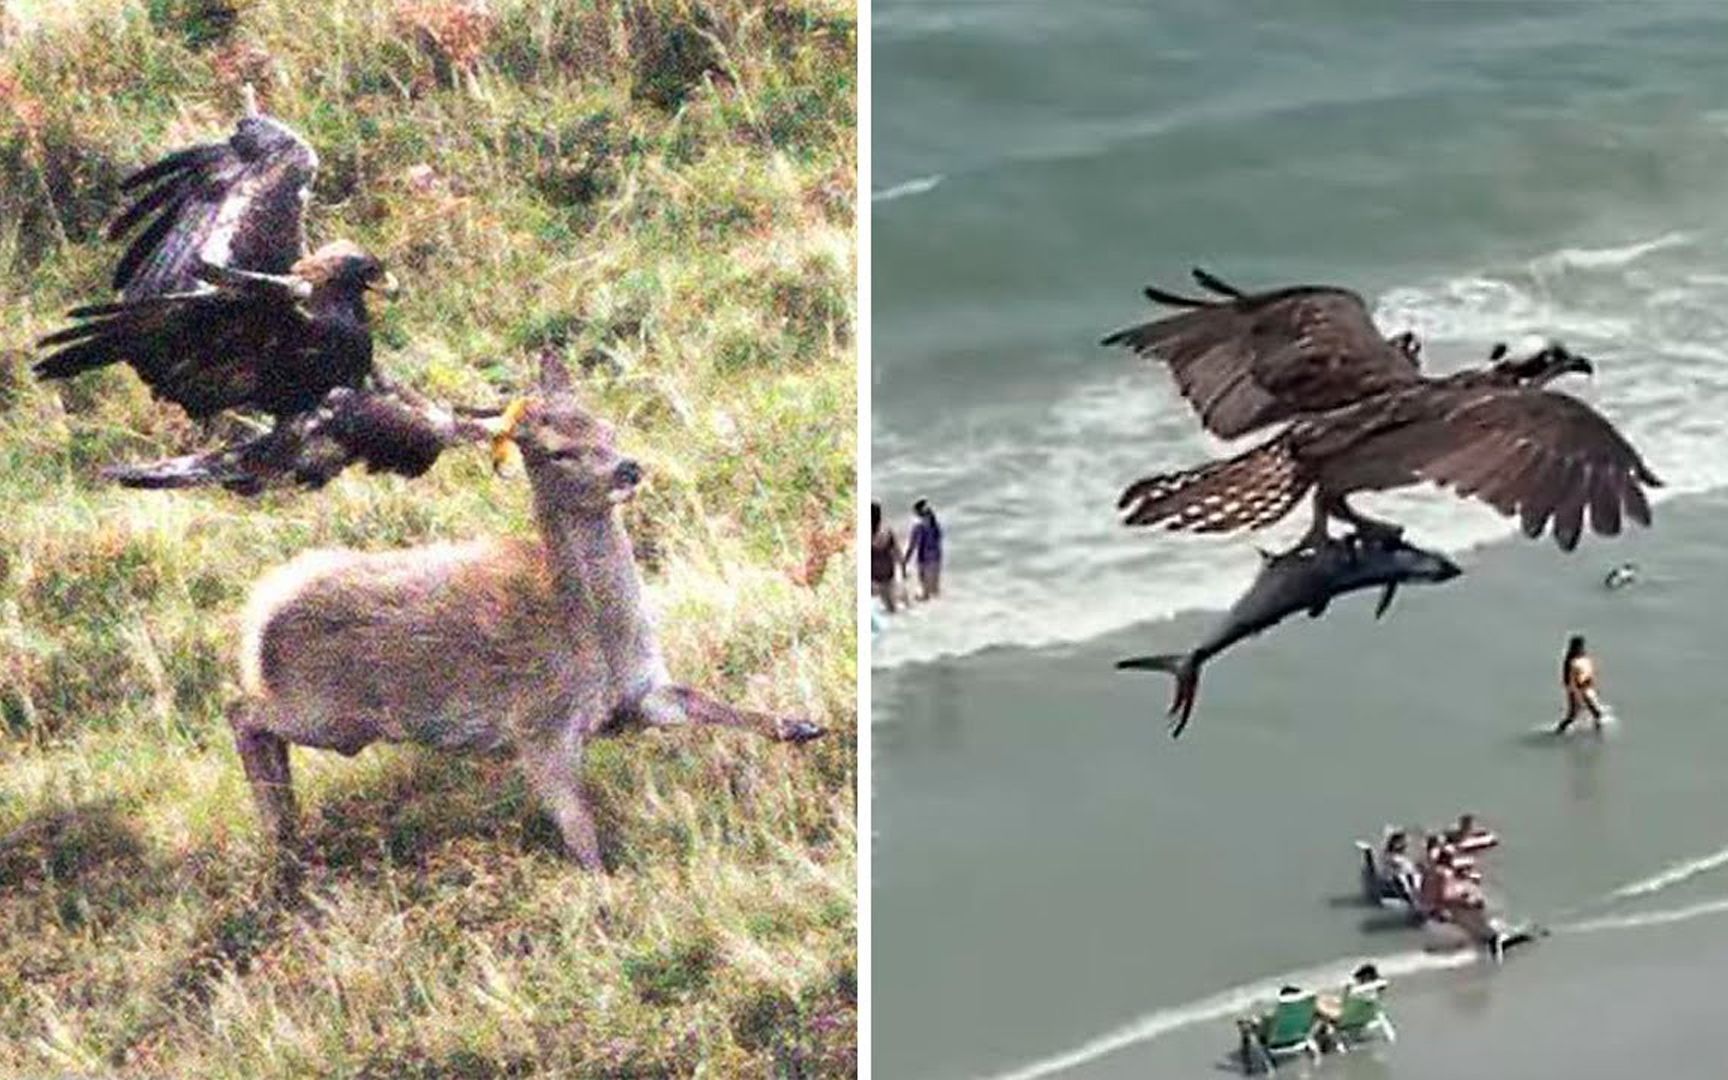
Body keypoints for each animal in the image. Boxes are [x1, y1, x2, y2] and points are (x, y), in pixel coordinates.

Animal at [229, 354, 822, 867]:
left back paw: (288, 830)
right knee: (242, 712)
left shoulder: (644, 690)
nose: (628, 468)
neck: (593, 641)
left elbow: (704, 700)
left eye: (606, 427)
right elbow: (580, 830)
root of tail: (258, 613)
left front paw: (802, 725)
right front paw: (607, 895)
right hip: (329, 712)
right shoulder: (538, 724)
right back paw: (279, 835)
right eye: (558, 451)